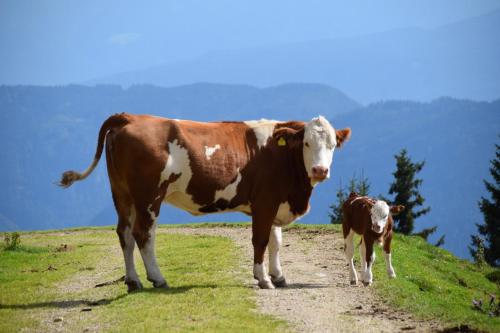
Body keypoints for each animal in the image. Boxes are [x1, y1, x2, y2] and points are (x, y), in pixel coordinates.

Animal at [58, 113, 352, 290]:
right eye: (306, 143)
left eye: (332, 145)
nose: (320, 170)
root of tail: (129, 117)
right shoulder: (264, 202)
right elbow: (260, 241)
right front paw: (263, 279)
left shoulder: (275, 202)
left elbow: (275, 242)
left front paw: (278, 276)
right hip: (148, 196)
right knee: (143, 234)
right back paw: (158, 278)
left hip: (122, 195)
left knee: (125, 234)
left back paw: (133, 281)